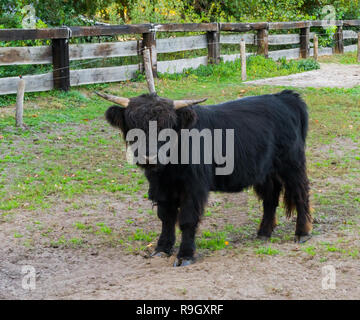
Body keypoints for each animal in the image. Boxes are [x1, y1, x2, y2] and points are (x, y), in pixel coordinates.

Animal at [98, 89, 312, 266]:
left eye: (167, 126)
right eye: (133, 124)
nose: (149, 157)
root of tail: (285, 96)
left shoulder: (194, 187)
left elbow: (187, 219)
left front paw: (184, 256)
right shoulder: (161, 188)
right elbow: (166, 217)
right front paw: (162, 248)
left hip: (292, 164)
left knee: (300, 193)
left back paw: (302, 233)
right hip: (265, 171)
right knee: (270, 198)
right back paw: (263, 233)